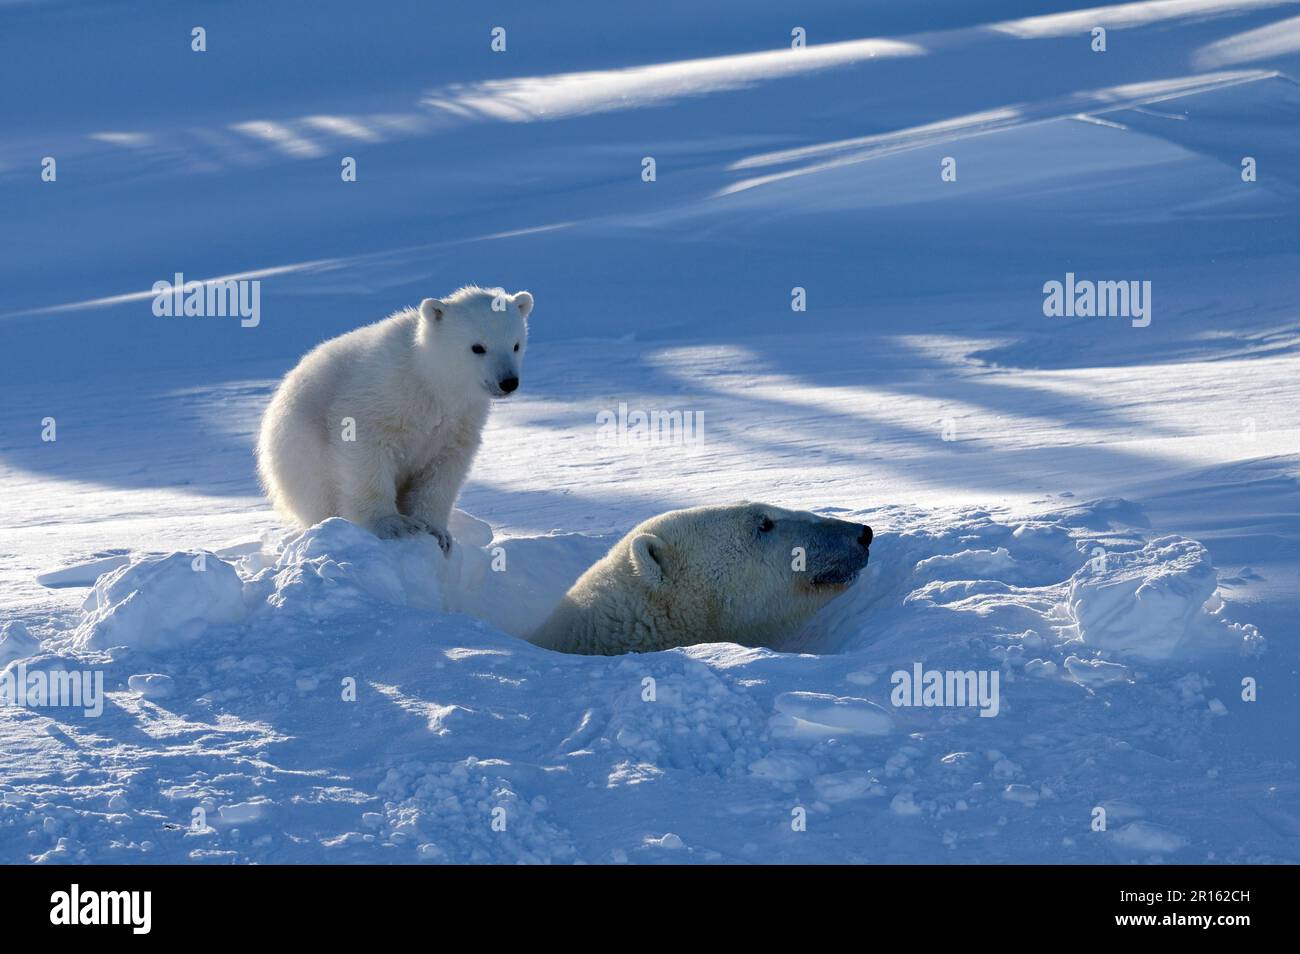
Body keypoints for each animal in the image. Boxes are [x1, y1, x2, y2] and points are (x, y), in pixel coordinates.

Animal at [256, 283, 530, 553]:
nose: (508, 382)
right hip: (302, 453)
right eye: (477, 347)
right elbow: (365, 450)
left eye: (516, 345)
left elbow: (443, 472)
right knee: (319, 495)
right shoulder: (382, 394)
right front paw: (393, 526)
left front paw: (437, 532)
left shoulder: (460, 419)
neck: (430, 380)